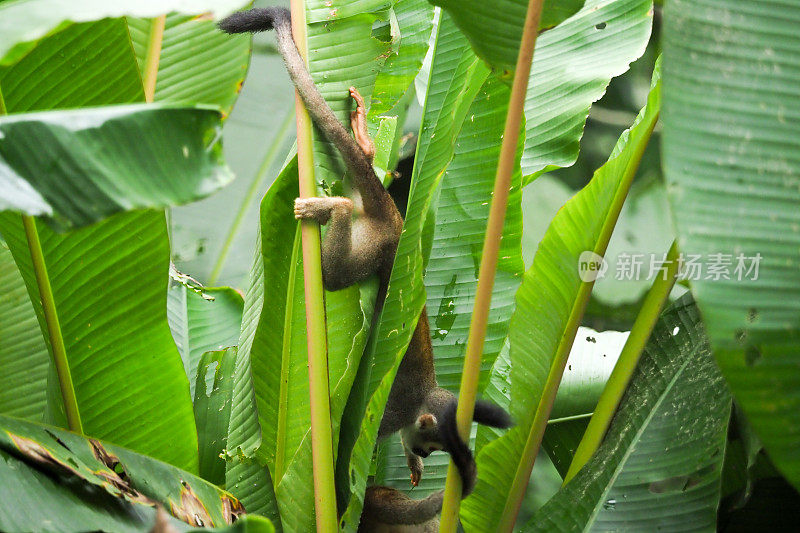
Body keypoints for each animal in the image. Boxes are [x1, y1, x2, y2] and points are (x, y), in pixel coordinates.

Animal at [217, 8, 512, 528]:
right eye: (432, 443)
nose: (427, 456)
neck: (423, 401)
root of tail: (394, 221)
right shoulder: (393, 414)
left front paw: (411, 467)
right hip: (375, 245)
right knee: (337, 275)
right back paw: (332, 207)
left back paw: (365, 151)